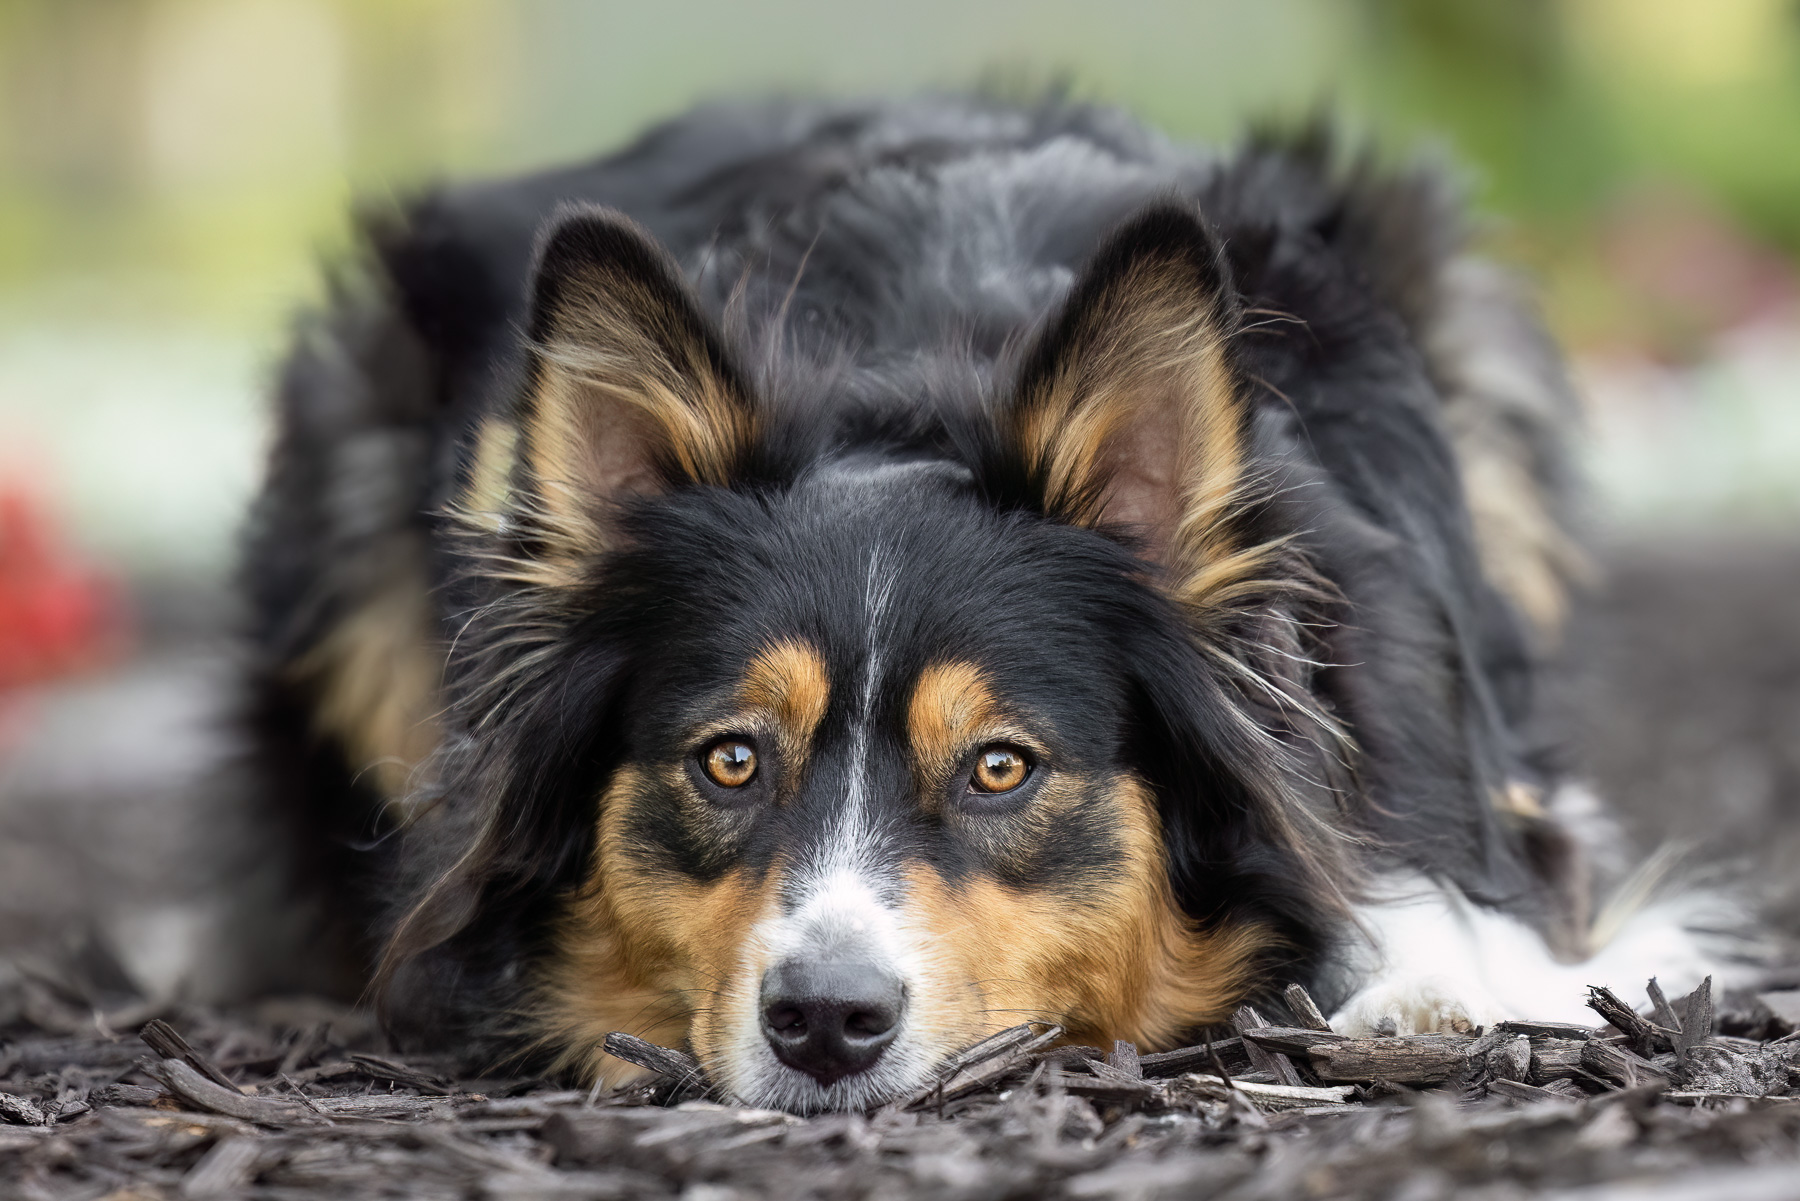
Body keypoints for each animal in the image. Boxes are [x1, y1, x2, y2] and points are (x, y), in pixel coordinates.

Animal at [246, 98, 1735, 1116]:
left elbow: (1454, 877)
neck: (901, 390)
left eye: (1001, 766)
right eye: (729, 759)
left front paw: (1432, 980)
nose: (823, 1022)